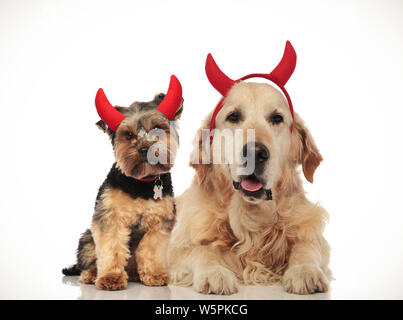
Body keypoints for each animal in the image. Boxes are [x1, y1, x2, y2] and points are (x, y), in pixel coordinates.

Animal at [62, 75, 184, 290]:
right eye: (128, 135)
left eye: (157, 129)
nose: (145, 149)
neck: (142, 183)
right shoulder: (111, 217)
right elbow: (112, 247)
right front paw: (110, 278)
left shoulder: (160, 222)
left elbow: (150, 248)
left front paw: (154, 275)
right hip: (87, 239)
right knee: (89, 260)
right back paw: (90, 275)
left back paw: (135, 274)